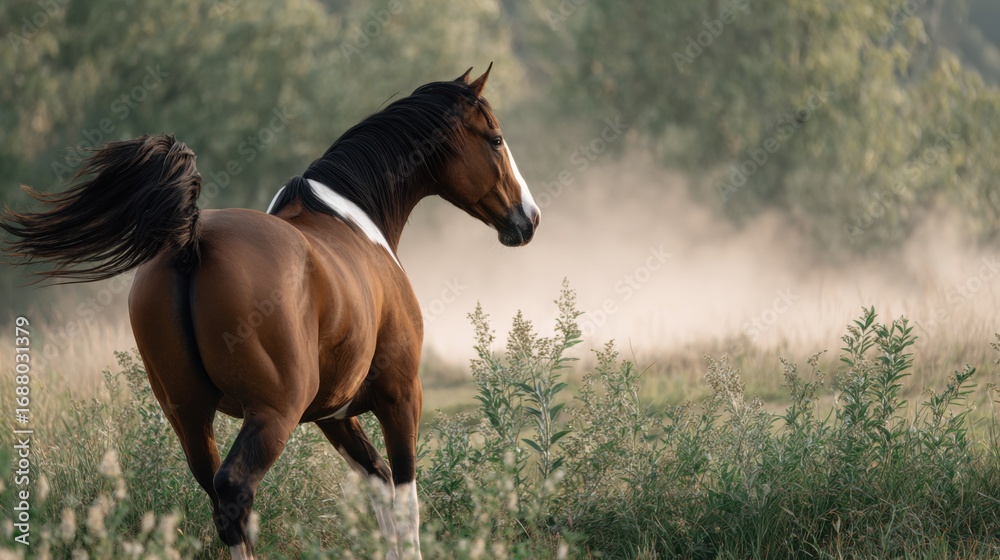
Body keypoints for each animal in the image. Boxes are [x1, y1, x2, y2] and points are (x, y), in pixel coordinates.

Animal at [1, 64, 540, 559]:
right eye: (494, 139)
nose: (528, 218)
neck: (352, 217)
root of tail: (193, 239)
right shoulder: (401, 393)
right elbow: (405, 499)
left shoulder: (333, 416)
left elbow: (379, 483)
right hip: (272, 414)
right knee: (235, 489)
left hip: (189, 416)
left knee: (218, 497)